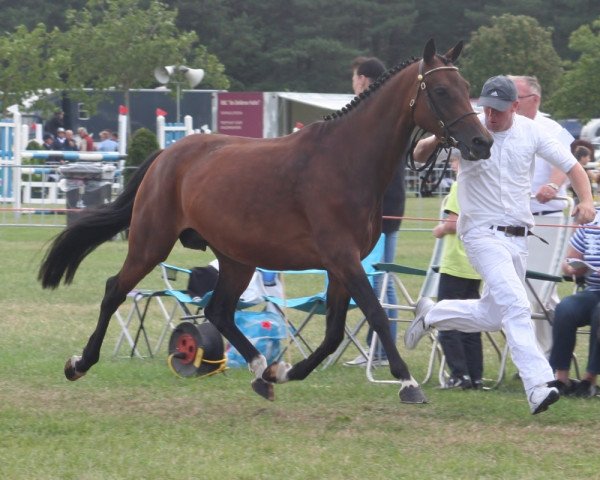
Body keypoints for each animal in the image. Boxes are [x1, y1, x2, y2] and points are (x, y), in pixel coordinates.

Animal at [39, 38, 494, 404]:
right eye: (441, 90)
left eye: (467, 89)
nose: (482, 142)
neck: (346, 160)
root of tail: (168, 155)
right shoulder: (343, 258)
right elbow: (377, 315)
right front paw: (408, 383)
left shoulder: (339, 267)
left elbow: (333, 332)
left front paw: (286, 371)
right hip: (151, 243)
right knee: (115, 290)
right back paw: (80, 362)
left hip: (236, 259)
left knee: (219, 311)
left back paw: (261, 370)